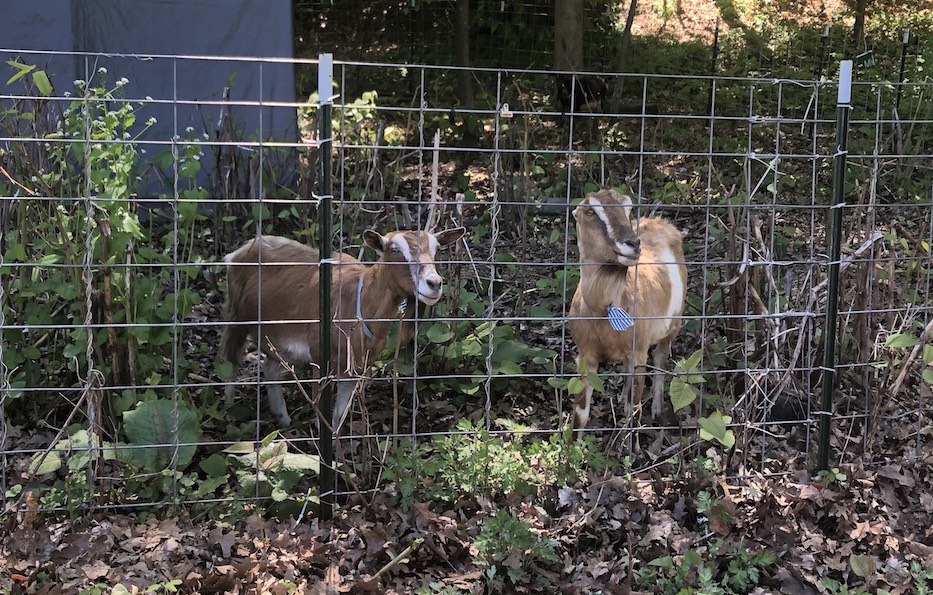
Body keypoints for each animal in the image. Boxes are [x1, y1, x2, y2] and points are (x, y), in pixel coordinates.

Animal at [219, 227, 466, 428]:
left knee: (270, 367)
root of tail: (241, 251)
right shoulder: (320, 358)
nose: (434, 283)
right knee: (231, 360)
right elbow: (323, 418)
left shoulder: (356, 367)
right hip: (236, 316)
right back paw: (229, 411)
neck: (359, 302)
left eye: (436, 249)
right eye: (394, 250)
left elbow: (338, 416)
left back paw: (283, 419)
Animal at [564, 189, 688, 430]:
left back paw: (658, 410)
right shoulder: (585, 354)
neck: (603, 311)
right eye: (590, 211)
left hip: (672, 326)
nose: (633, 243)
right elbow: (580, 414)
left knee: (660, 360)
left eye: (628, 208)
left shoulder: (638, 352)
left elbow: (633, 411)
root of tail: (661, 223)